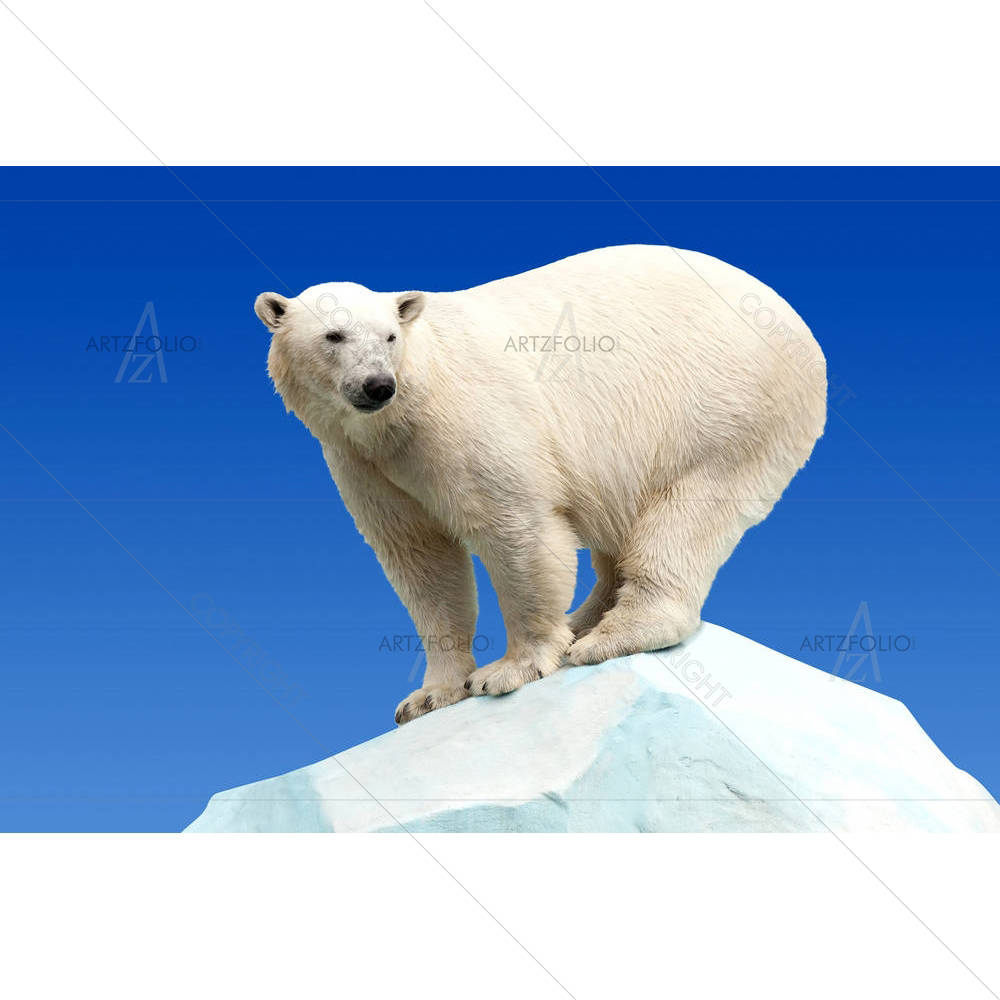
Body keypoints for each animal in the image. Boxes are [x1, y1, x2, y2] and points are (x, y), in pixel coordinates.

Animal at [254, 244, 826, 725]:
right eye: (333, 336)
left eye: (390, 337)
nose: (377, 385)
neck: (399, 417)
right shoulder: (364, 463)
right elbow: (421, 558)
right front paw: (429, 695)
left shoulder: (464, 422)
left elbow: (516, 527)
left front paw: (510, 669)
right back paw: (586, 619)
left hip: (724, 406)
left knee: (688, 513)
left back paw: (609, 636)